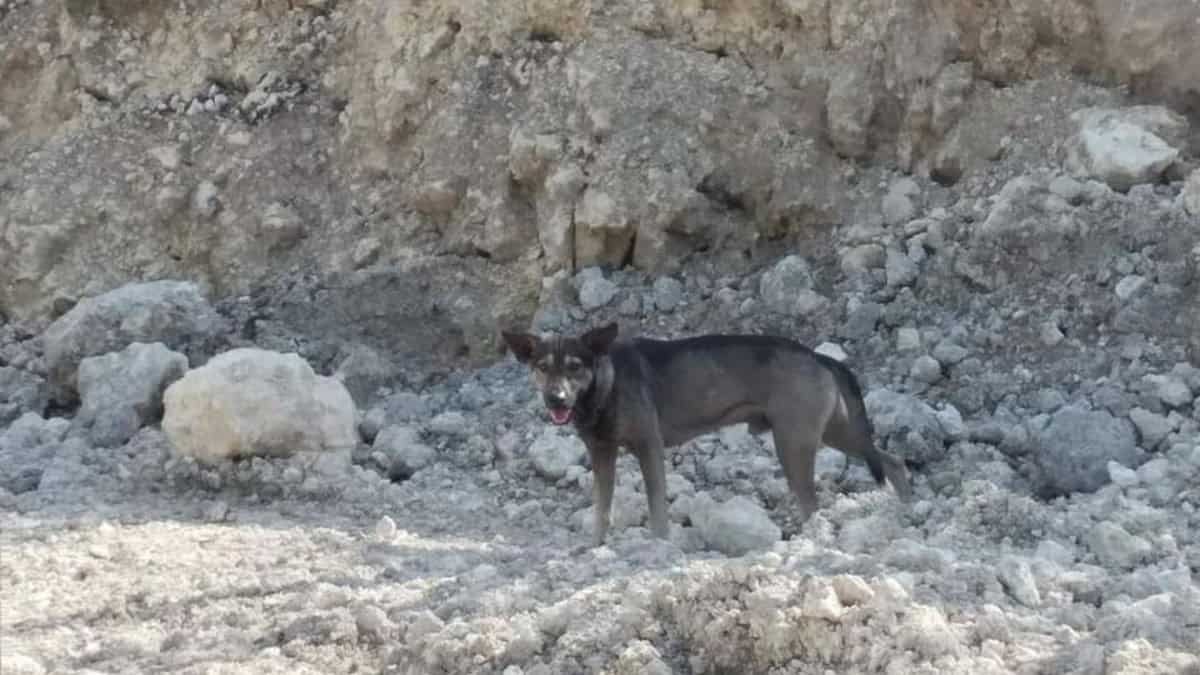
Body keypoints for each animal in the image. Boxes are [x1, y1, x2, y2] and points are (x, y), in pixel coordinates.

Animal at [499, 317, 907, 542]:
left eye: (574, 367)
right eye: (542, 367)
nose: (556, 400)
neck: (605, 384)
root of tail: (818, 356)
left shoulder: (649, 447)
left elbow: (657, 507)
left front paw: (660, 546)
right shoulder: (601, 453)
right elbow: (602, 507)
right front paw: (595, 545)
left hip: (795, 444)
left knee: (814, 502)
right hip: (835, 431)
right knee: (892, 460)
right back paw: (902, 506)